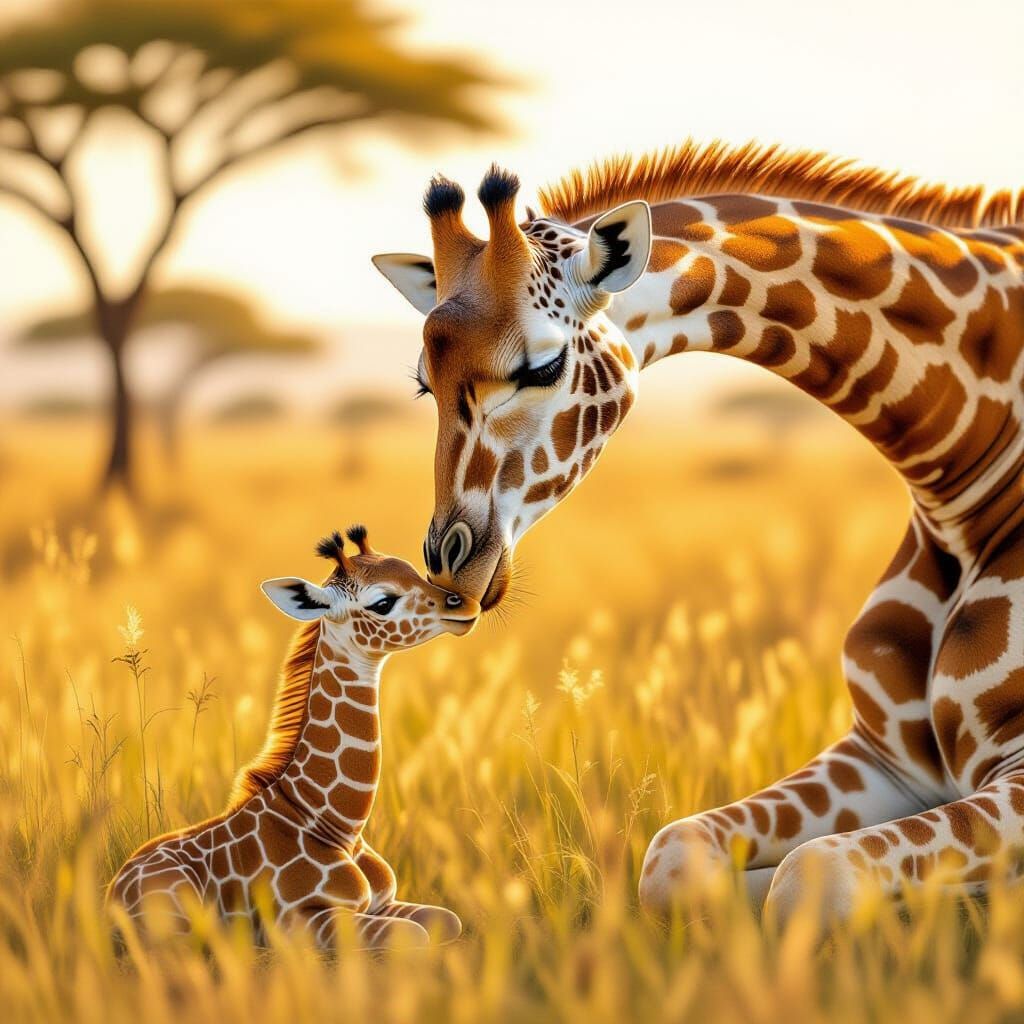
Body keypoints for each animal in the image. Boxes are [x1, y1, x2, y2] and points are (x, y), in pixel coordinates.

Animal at [107, 526, 479, 950]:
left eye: (415, 570)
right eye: (383, 601)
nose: (463, 603)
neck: (336, 824)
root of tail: (110, 894)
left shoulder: (384, 901)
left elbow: (447, 920)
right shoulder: (299, 919)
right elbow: (415, 935)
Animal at [372, 140, 1024, 934]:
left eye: (543, 366)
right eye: (423, 383)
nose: (449, 566)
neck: (959, 484)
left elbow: (814, 876)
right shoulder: (887, 752)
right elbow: (678, 855)